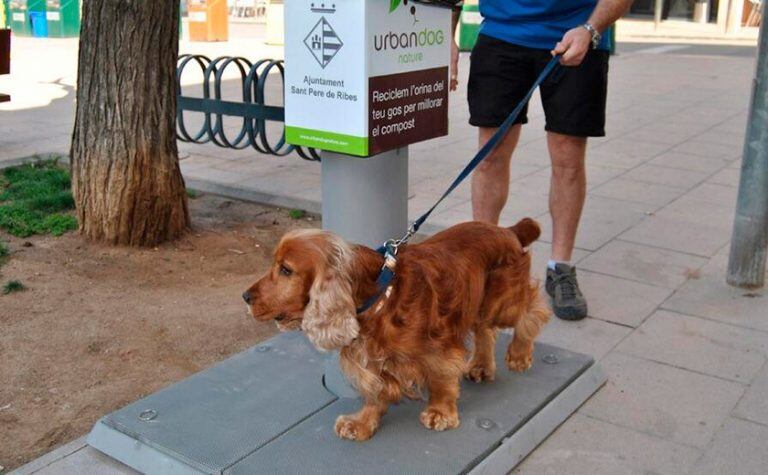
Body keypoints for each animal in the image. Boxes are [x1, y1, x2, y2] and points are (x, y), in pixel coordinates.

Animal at [243, 219, 548, 442]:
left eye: (285, 270)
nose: (245, 297)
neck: (379, 294)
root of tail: (507, 230)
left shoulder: (439, 348)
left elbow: (441, 379)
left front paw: (440, 412)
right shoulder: (372, 358)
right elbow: (375, 392)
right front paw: (361, 423)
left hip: (502, 301)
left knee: (531, 312)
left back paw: (519, 354)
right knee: (486, 330)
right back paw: (482, 366)